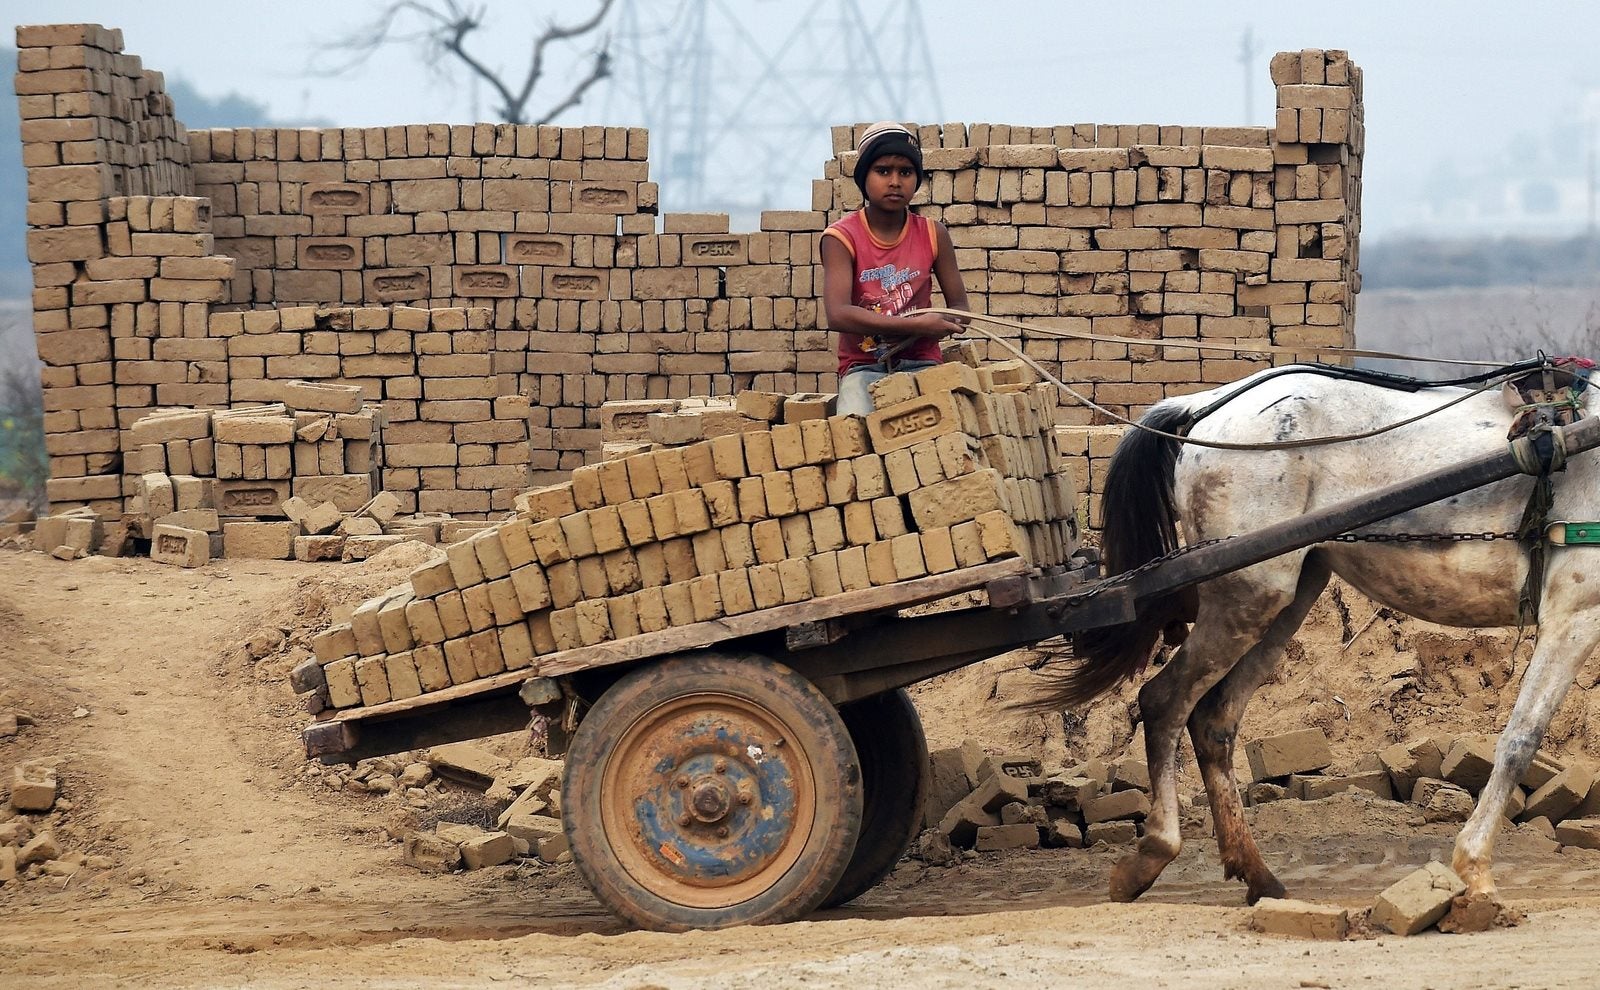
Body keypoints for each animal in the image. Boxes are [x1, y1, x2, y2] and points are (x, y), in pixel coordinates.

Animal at [1040, 362, 1599, 907]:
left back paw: (1258, 875)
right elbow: (1521, 739)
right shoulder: (1575, 613)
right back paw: (1154, 853)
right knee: (1163, 701)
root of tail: (1206, 405)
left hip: (1287, 596)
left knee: (1213, 720)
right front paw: (1475, 870)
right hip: (1246, 593)